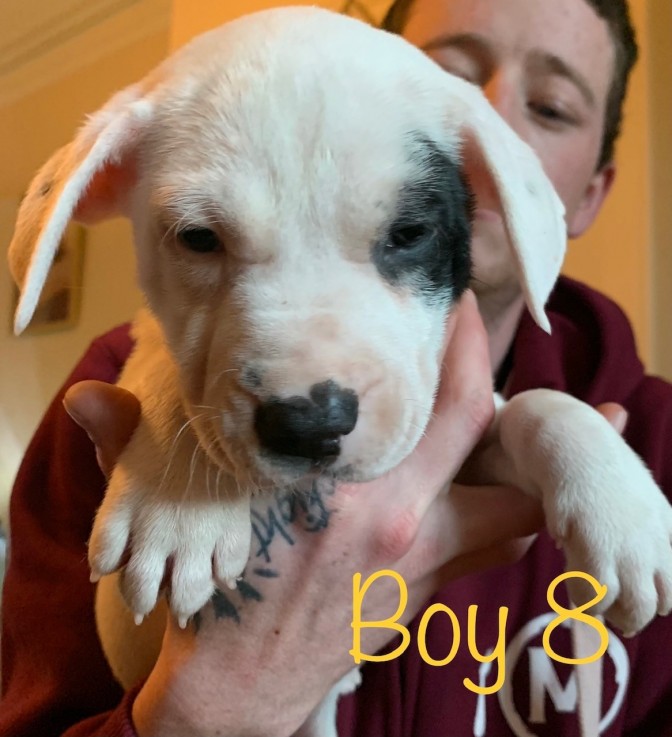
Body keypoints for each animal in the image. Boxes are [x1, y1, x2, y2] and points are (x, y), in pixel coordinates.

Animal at [6, 4, 672, 732]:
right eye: (198, 238)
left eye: (409, 234)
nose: (309, 422)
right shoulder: (157, 343)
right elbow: (169, 372)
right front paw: (180, 504)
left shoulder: (453, 436)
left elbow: (535, 404)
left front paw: (622, 507)